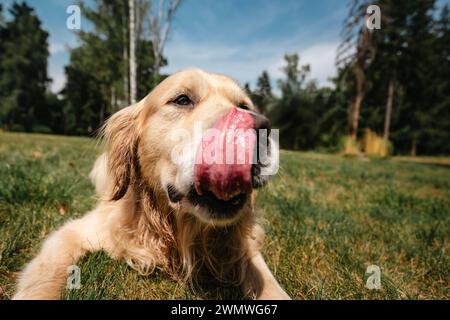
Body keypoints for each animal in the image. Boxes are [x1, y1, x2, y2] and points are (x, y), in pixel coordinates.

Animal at [14, 68, 290, 300]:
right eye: (182, 100)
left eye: (244, 106)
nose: (261, 129)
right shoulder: (75, 233)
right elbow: (45, 278)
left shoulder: (243, 246)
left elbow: (267, 281)